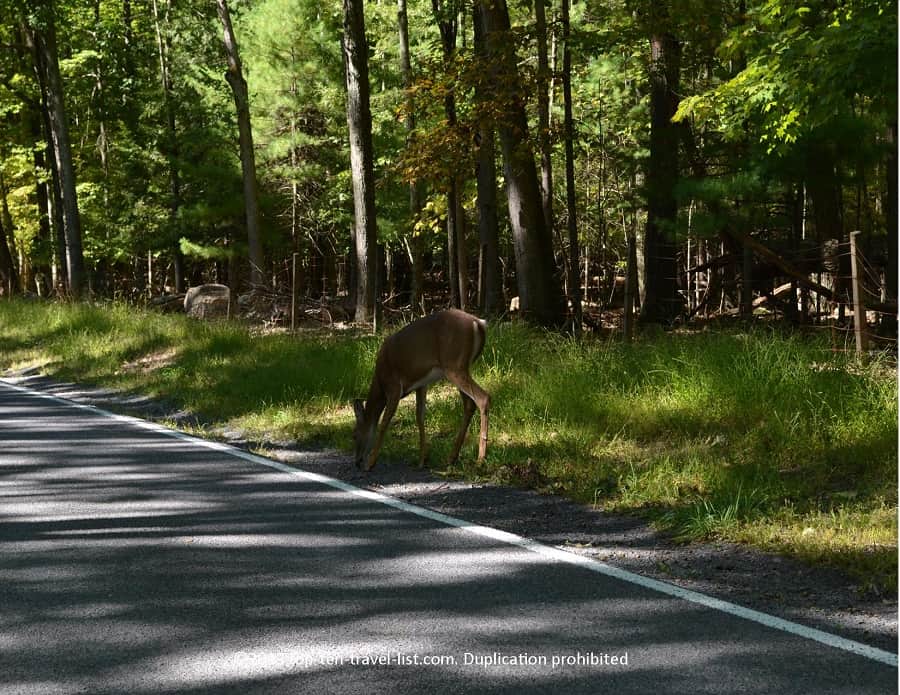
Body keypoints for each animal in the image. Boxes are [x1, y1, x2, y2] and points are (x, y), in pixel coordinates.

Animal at [352, 309, 490, 471]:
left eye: (354, 435)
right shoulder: (421, 384)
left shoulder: (393, 386)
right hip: (462, 367)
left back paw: (480, 460)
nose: (357, 462)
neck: (380, 383)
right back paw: (451, 458)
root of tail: (478, 323)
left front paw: (370, 463)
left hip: (454, 365)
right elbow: (420, 417)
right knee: (469, 404)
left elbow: (384, 422)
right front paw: (422, 460)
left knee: (483, 398)